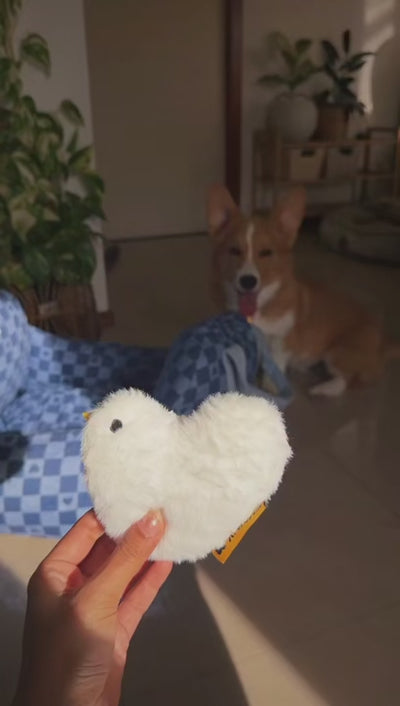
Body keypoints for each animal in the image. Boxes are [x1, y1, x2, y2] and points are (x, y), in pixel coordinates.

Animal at [208, 184, 399, 396]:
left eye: (266, 252)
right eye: (234, 250)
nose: (248, 281)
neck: (261, 306)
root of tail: (383, 342)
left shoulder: (281, 343)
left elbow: (274, 370)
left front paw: (271, 390)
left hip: (337, 353)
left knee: (346, 380)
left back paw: (322, 388)